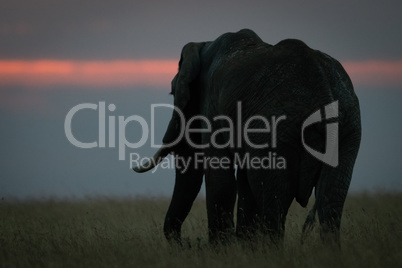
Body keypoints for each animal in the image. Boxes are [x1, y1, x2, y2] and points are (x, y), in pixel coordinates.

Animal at [133, 28, 362, 245]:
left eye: (172, 94)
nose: (190, 243)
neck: (204, 46)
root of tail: (323, 90)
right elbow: (244, 187)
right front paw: (244, 249)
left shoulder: (214, 109)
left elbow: (221, 182)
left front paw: (223, 251)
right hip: (348, 128)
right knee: (331, 198)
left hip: (278, 128)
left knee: (275, 199)